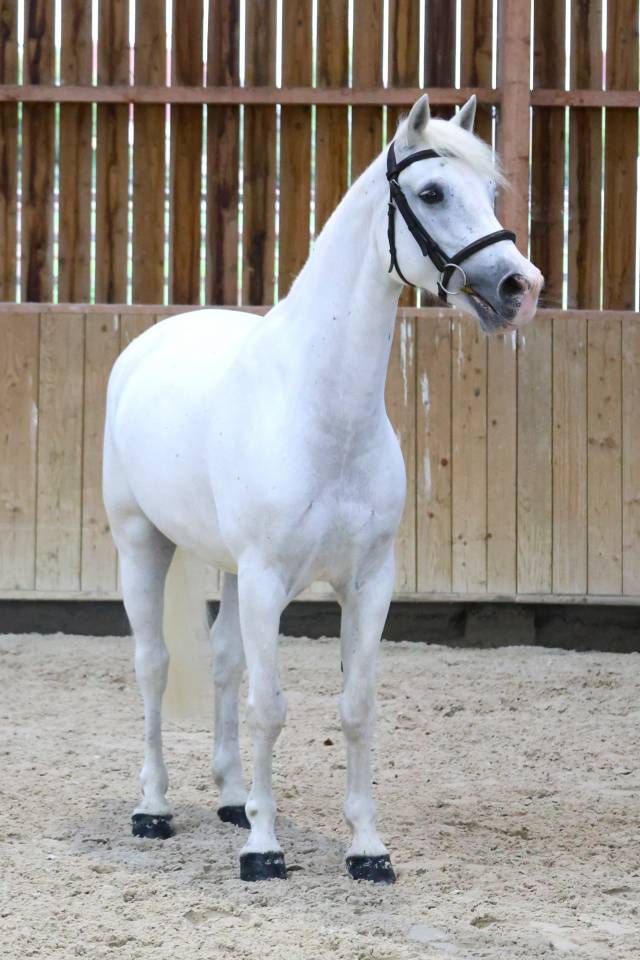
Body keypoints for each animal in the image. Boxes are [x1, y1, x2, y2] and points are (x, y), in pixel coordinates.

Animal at [103, 94, 543, 883]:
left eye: (490, 192)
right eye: (432, 192)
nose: (521, 288)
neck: (321, 411)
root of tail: (148, 345)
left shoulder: (367, 583)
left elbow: (356, 706)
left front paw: (366, 848)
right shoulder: (269, 580)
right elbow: (271, 706)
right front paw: (263, 849)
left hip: (229, 571)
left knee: (222, 663)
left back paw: (230, 799)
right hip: (141, 545)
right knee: (154, 666)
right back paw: (153, 809)